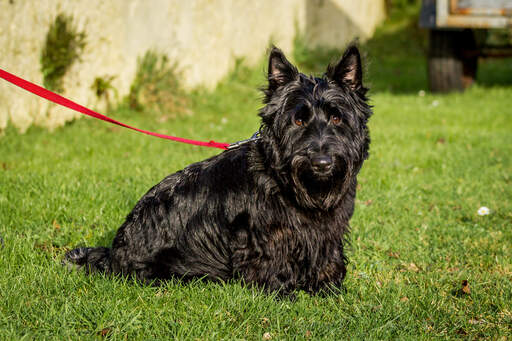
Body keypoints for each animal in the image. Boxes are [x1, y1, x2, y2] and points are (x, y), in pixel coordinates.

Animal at [66, 45, 374, 294]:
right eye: (298, 121)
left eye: (337, 118)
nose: (322, 162)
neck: (299, 188)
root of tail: (114, 254)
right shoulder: (265, 235)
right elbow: (270, 260)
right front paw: (279, 291)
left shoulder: (328, 232)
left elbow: (327, 255)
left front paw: (328, 287)